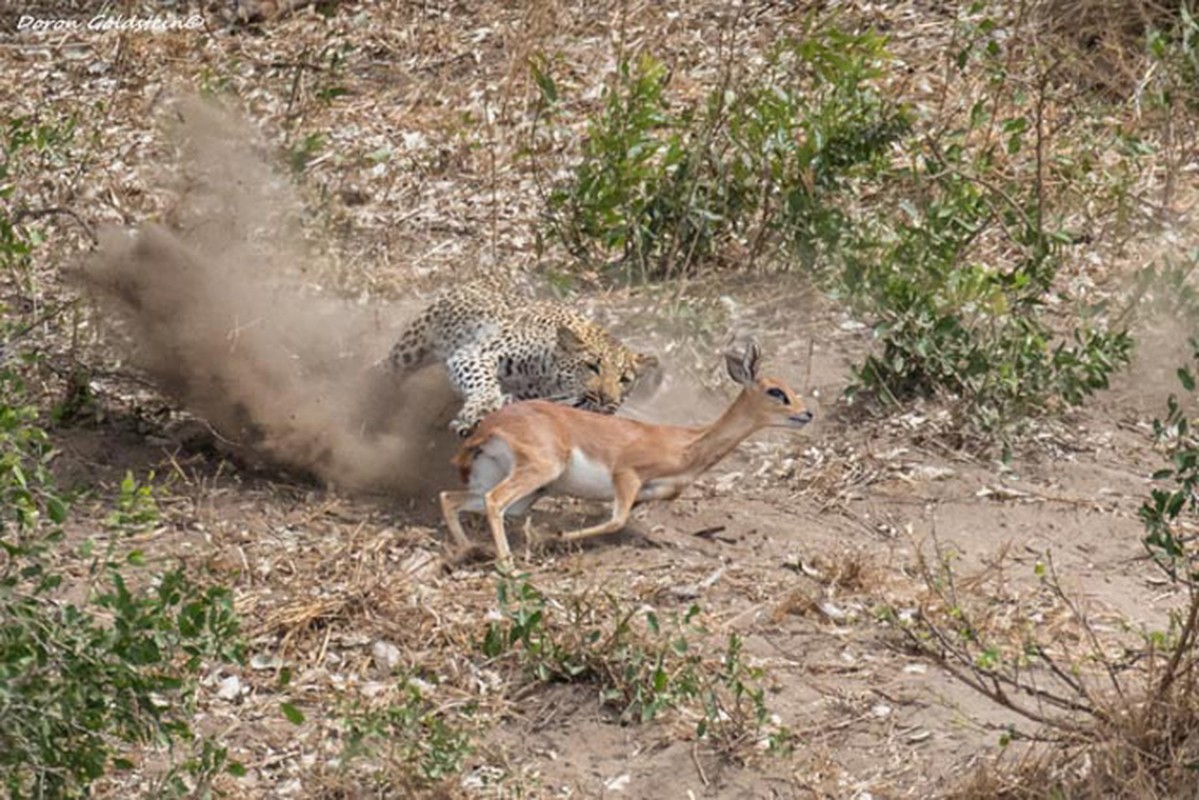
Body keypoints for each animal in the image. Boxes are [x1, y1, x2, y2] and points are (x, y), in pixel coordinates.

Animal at [378, 283, 661, 438]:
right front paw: (481, 408)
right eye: (592, 366)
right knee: (387, 369)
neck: (547, 383)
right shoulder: (477, 354)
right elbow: (483, 383)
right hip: (414, 346)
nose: (607, 401)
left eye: (624, 379)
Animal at [436, 340, 810, 566]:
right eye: (776, 391)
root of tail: (488, 426)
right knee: (493, 502)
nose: (807, 414)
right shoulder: (626, 476)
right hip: (539, 471)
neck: (685, 445)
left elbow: (623, 522)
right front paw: (553, 537)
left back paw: (468, 550)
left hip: (515, 487)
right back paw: (508, 564)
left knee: (451, 498)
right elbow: (615, 520)